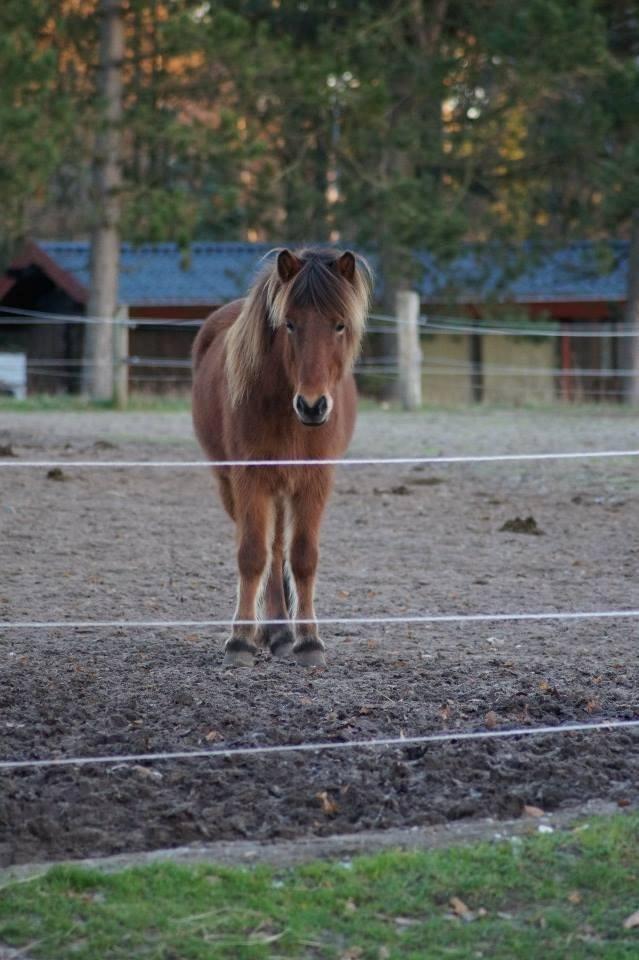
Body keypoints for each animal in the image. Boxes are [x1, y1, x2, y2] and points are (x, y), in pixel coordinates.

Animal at [191, 246, 372, 667]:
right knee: (270, 553)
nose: (313, 406)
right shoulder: (250, 479)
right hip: (232, 484)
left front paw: (309, 641)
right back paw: (271, 632)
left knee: (280, 552)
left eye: (339, 325)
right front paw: (240, 641)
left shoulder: (314, 481)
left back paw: (283, 633)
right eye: (289, 324)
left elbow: (304, 557)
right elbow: (253, 555)